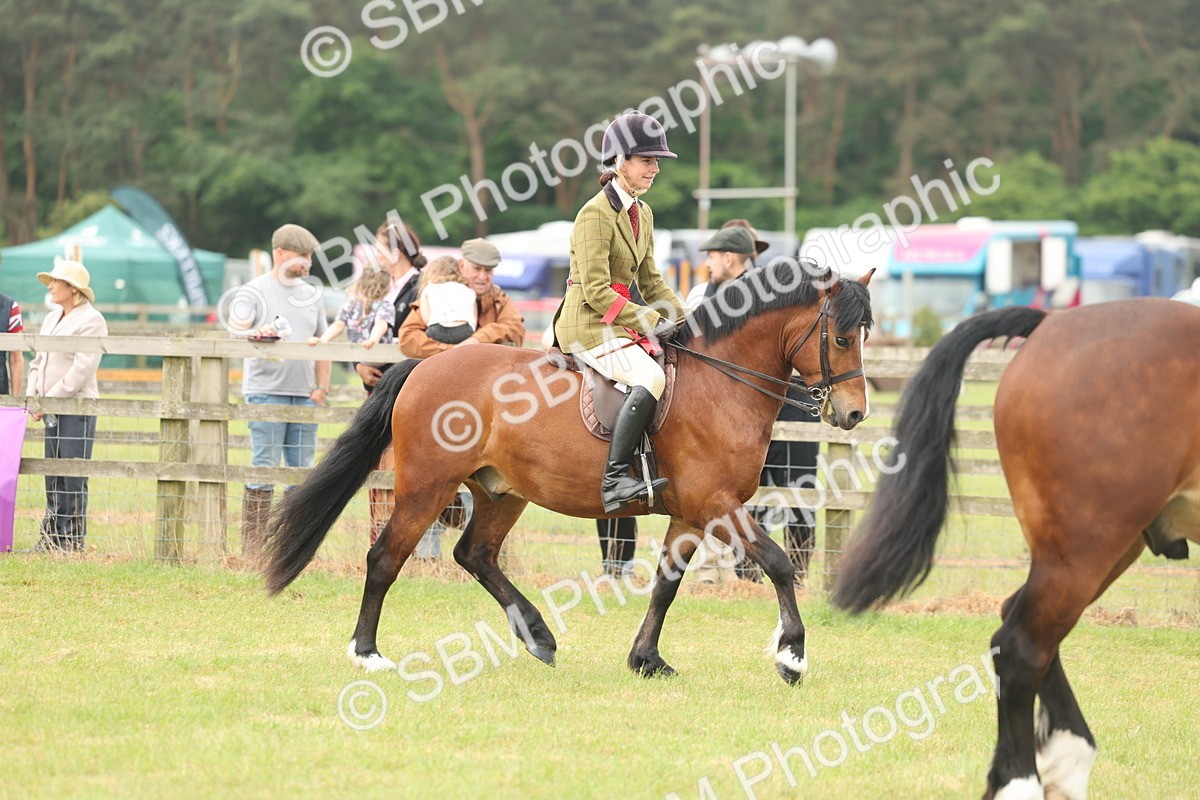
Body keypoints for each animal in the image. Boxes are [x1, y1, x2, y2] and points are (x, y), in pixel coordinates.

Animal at [263, 260, 874, 686]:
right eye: (843, 337)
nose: (853, 415)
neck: (722, 382)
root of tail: (423, 366)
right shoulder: (716, 503)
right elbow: (777, 564)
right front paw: (792, 656)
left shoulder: (690, 514)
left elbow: (665, 586)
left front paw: (646, 659)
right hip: (426, 488)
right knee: (385, 558)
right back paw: (368, 653)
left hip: (501, 492)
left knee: (474, 554)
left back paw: (538, 637)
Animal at [832, 299, 1200, 800]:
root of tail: (1053, 322)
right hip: (1088, 545)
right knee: (1022, 645)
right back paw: (1025, 778)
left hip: (1103, 547)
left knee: (1020, 624)